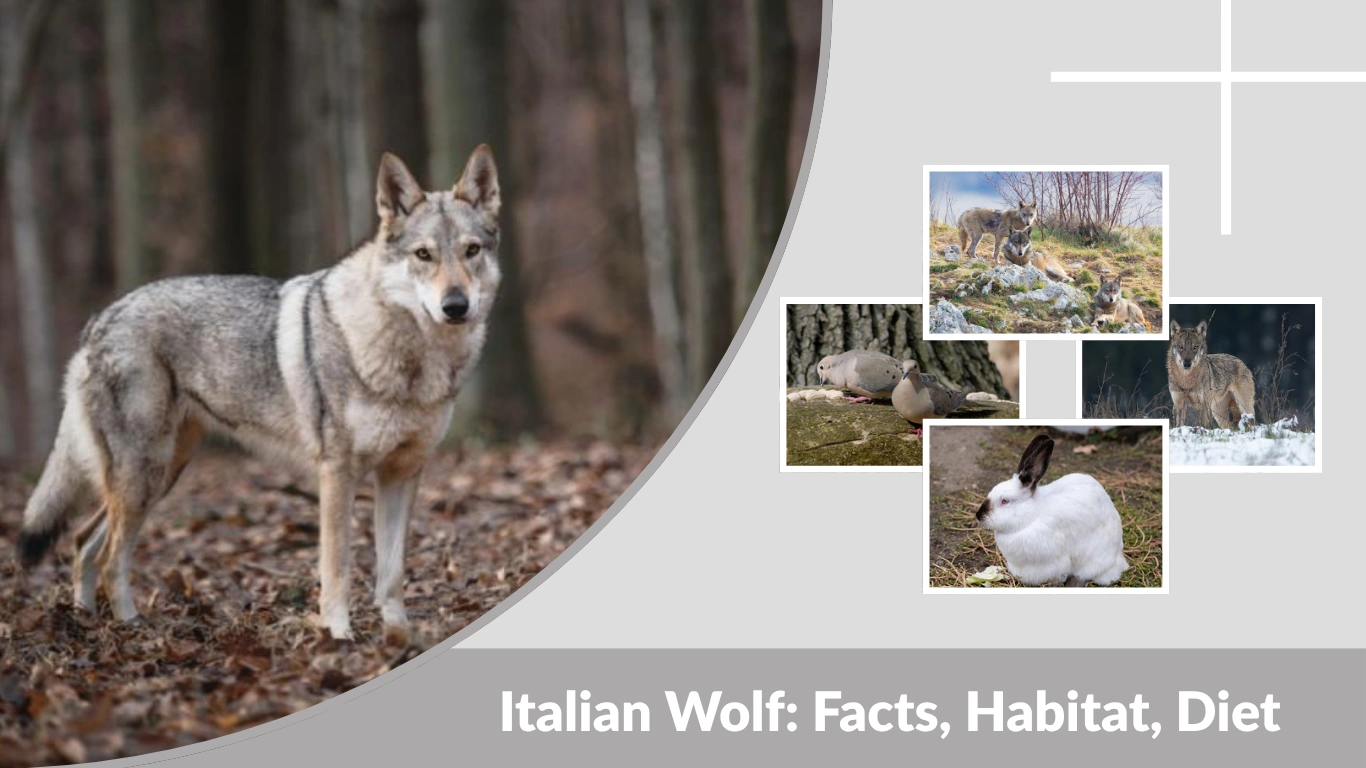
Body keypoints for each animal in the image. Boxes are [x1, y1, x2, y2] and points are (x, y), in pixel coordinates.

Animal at [16, 146, 502, 640]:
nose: (456, 306)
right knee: (110, 557)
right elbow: (338, 568)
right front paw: (339, 637)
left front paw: (399, 636)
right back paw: (133, 629)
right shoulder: (337, 473)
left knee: (83, 543)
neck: (410, 358)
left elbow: (392, 571)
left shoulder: (402, 473)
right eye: (424, 255)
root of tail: (100, 318)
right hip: (144, 476)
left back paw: (84, 623)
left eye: (471, 251)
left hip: (160, 474)